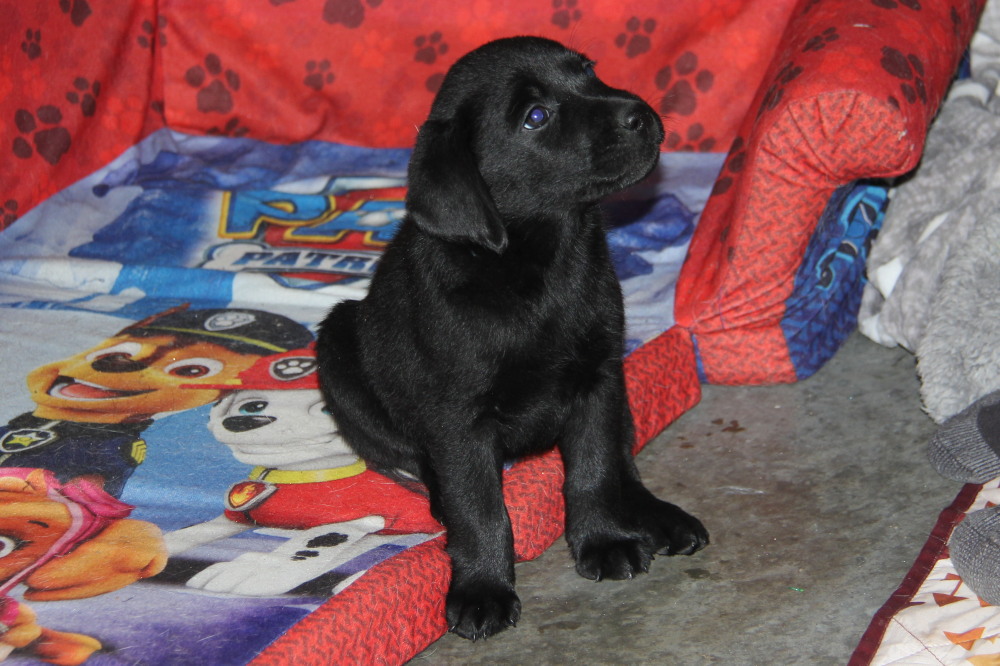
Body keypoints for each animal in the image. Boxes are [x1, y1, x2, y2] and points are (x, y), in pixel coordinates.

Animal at [316, 36, 708, 640]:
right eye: (535, 117)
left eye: (589, 72)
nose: (641, 113)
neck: (537, 267)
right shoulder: (458, 417)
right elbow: (479, 506)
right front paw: (482, 587)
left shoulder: (598, 380)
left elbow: (594, 468)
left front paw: (604, 539)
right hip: (338, 345)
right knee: (419, 463)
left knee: (624, 460)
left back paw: (657, 516)